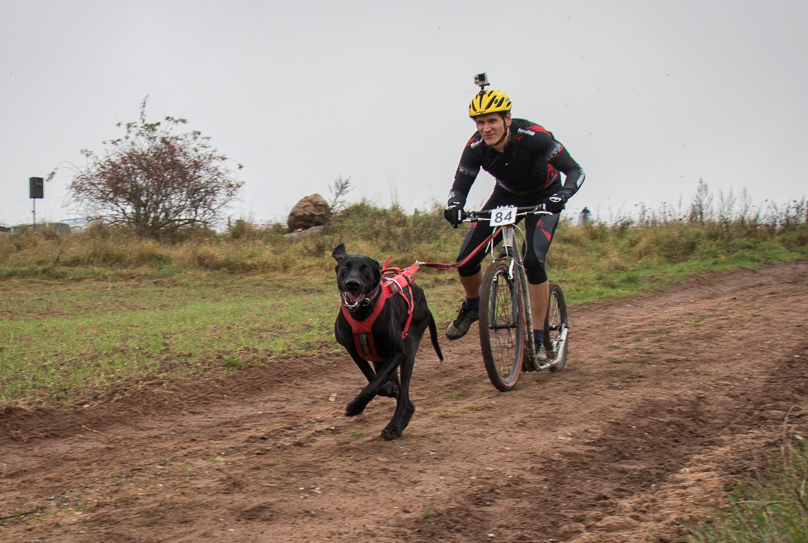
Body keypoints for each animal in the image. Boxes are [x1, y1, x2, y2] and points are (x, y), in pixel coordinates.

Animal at [332, 244, 442, 440]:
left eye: (366, 269)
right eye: (345, 266)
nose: (353, 283)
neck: (362, 312)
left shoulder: (397, 353)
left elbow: (372, 387)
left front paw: (354, 407)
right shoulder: (354, 351)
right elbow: (374, 381)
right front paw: (389, 389)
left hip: (409, 347)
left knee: (405, 396)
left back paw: (394, 426)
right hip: (380, 357)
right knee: (401, 394)